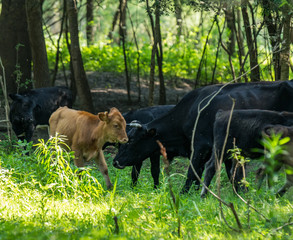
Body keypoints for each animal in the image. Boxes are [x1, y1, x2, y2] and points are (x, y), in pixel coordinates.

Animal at [112, 80, 293, 193]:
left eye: (131, 141)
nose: (115, 161)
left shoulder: (201, 146)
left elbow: (192, 173)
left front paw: (184, 194)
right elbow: (230, 175)